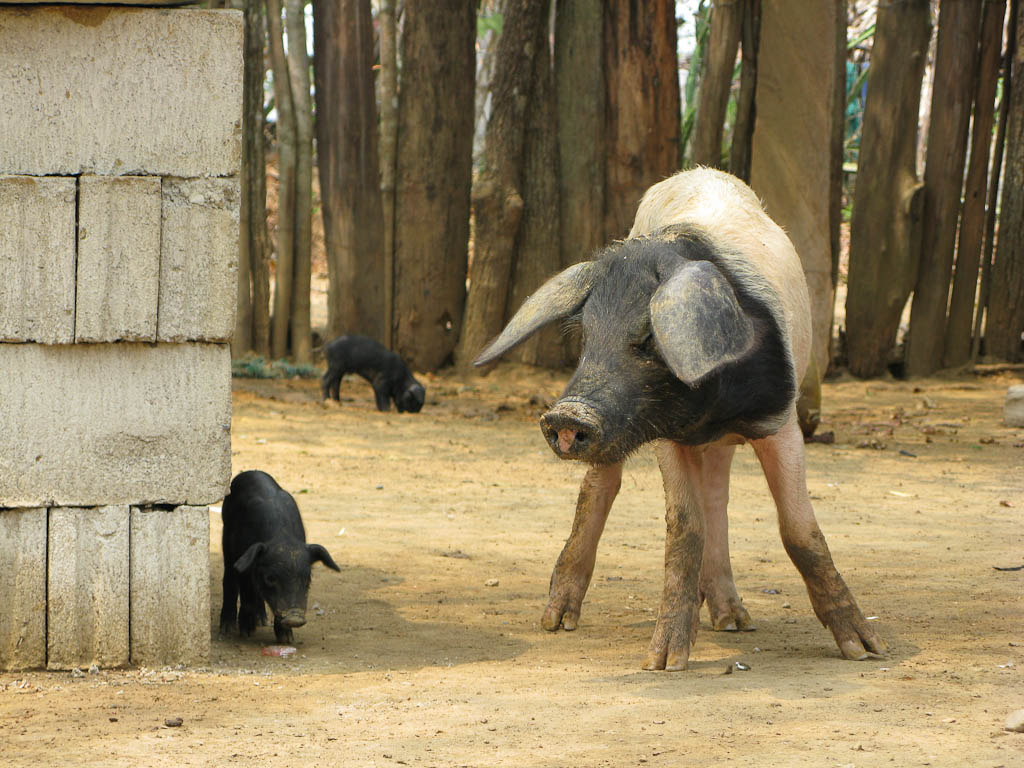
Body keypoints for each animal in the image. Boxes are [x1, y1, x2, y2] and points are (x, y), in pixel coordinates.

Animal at [218, 470, 340, 644]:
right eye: (270, 578)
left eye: (307, 578)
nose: (295, 617)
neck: (282, 537)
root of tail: (251, 472)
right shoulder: (245, 560)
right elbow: (247, 595)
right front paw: (246, 633)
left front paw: (287, 640)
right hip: (227, 538)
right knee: (229, 578)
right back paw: (227, 630)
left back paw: (262, 621)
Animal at [475, 168, 885, 671]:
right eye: (586, 336)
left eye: (651, 338)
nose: (566, 414)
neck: (712, 408)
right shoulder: (667, 437)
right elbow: (684, 529)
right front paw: (664, 662)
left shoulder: (780, 419)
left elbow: (799, 529)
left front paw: (865, 650)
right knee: (601, 487)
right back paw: (556, 621)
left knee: (717, 500)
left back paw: (734, 621)